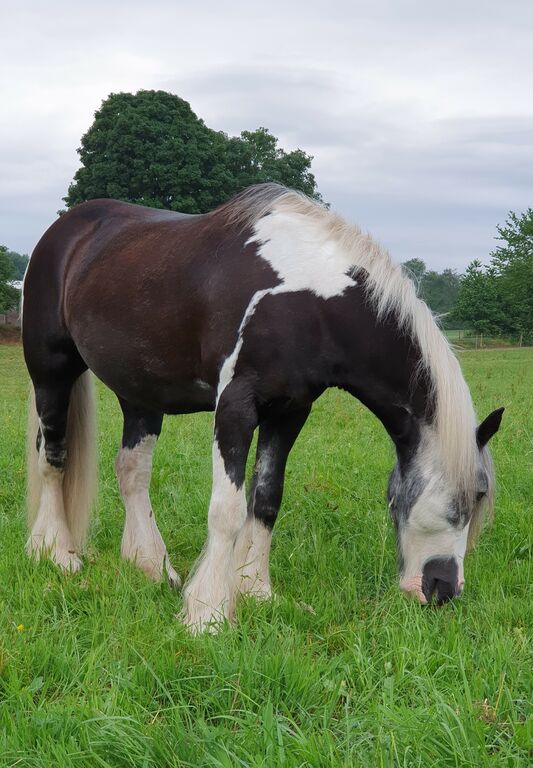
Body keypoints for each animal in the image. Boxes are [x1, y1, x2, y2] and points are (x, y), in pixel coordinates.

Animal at [22, 183, 504, 632]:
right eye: (472, 495)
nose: (443, 591)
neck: (309, 297)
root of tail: (65, 232)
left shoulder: (289, 411)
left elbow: (267, 499)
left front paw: (255, 590)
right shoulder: (236, 407)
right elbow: (226, 510)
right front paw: (209, 612)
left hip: (140, 393)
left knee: (131, 472)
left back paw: (151, 566)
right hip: (51, 373)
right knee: (53, 458)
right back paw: (57, 554)